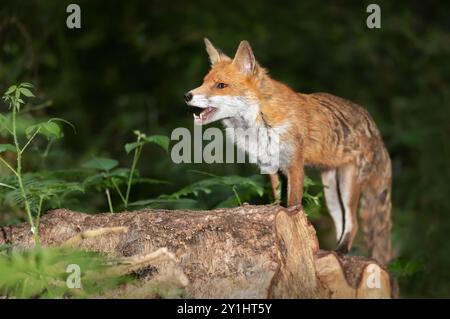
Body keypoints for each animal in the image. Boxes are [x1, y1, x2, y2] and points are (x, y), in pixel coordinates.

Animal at [185, 38, 392, 264]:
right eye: (204, 81)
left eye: (221, 85)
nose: (187, 95)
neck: (260, 120)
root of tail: (373, 127)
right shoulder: (270, 167)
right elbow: (277, 201)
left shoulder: (294, 165)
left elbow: (293, 205)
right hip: (331, 193)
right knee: (342, 222)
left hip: (347, 185)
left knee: (353, 223)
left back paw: (341, 250)